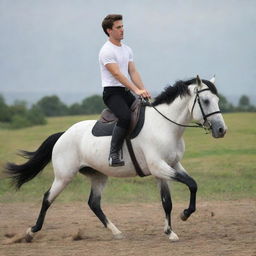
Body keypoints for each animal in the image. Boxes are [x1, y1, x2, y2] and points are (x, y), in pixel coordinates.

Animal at [5, 75, 226, 242]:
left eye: (217, 100)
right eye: (206, 101)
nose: (221, 130)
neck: (165, 126)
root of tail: (63, 134)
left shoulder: (170, 166)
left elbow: (171, 199)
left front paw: (170, 231)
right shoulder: (159, 167)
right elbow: (190, 184)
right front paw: (185, 215)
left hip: (98, 176)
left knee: (93, 203)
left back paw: (117, 232)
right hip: (64, 176)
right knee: (47, 198)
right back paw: (31, 231)